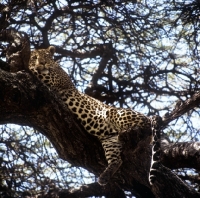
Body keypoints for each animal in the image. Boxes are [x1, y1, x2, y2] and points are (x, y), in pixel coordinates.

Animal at [28, 46, 160, 186]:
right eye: (35, 57)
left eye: (47, 56)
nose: (42, 63)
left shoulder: (53, 79)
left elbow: (35, 71)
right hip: (110, 140)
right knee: (117, 160)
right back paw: (104, 177)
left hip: (115, 113)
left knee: (145, 125)